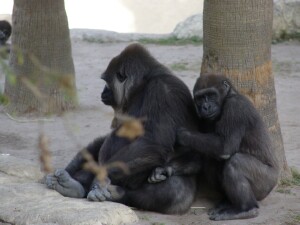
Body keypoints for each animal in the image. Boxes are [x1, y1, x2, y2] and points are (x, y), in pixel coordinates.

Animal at [45, 43, 198, 214]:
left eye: (107, 82)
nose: (103, 92)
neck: (143, 84)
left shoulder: (163, 91)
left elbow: (154, 141)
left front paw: (100, 179)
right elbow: (105, 139)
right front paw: (70, 170)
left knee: (174, 190)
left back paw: (117, 193)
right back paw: (73, 186)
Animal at [149, 73, 280, 220]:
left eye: (211, 95)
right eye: (200, 98)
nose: (206, 107)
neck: (229, 96)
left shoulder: (236, 107)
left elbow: (225, 146)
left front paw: (181, 135)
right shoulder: (202, 119)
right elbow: (199, 157)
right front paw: (166, 170)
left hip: (267, 184)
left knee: (236, 162)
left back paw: (246, 209)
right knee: (211, 161)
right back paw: (228, 202)